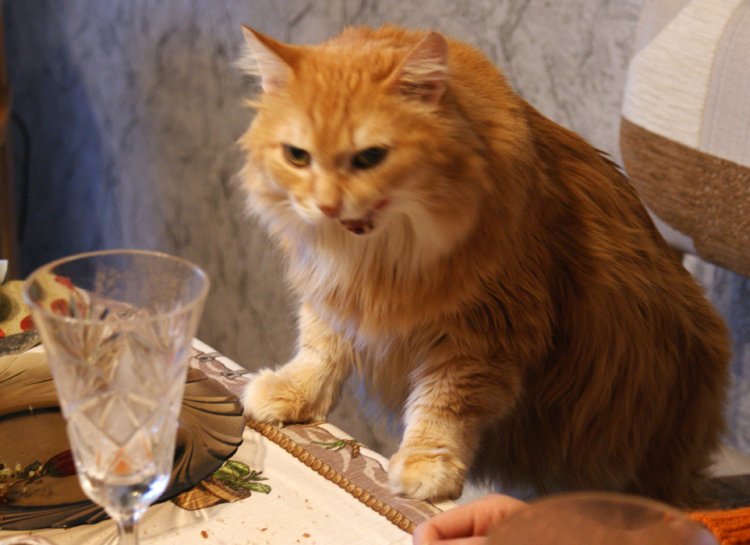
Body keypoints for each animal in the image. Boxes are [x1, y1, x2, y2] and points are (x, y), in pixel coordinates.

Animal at [236, 24, 730, 506]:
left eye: (370, 157)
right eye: (297, 156)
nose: (326, 206)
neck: (379, 260)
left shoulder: (486, 332)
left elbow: (444, 406)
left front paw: (426, 465)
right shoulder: (334, 295)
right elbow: (320, 350)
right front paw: (290, 392)